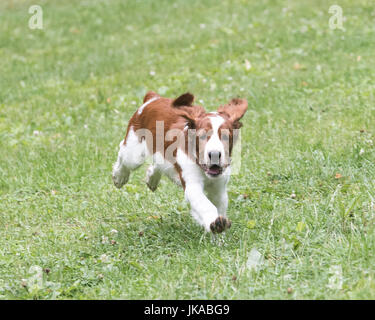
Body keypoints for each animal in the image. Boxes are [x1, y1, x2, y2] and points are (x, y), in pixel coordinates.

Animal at [113, 91, 248, 234]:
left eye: (226, 136)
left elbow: (219, 206)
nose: (215, 154)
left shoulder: (219, 188)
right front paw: (215, 223)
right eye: (202, 136)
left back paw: (152, 179)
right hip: (134, 154)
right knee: (123, 151)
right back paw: (119, 177)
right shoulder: (192, 186)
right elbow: (205, 205)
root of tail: (153, 98)